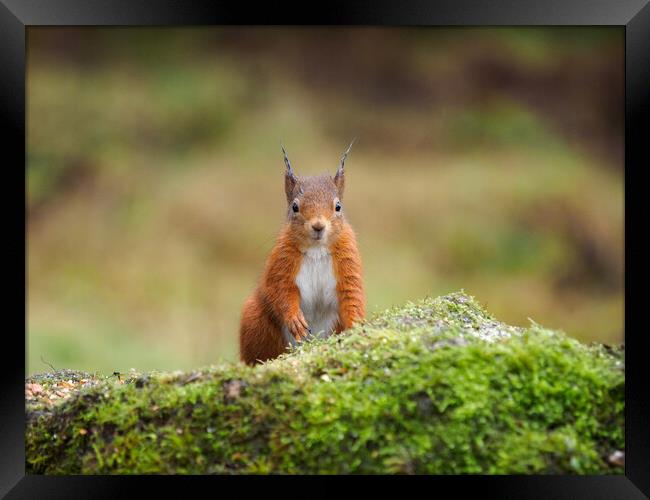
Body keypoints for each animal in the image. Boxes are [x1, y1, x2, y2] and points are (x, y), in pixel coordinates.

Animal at [240, 143, 368, 366]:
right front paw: (295, 319)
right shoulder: (282, 261)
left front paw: (356, 325)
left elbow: (352, 295)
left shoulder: (347, 261)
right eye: (295, 207)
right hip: (254, 320)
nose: (318, 226)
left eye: (338, 206)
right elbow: (280, 290)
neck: (316, 249)